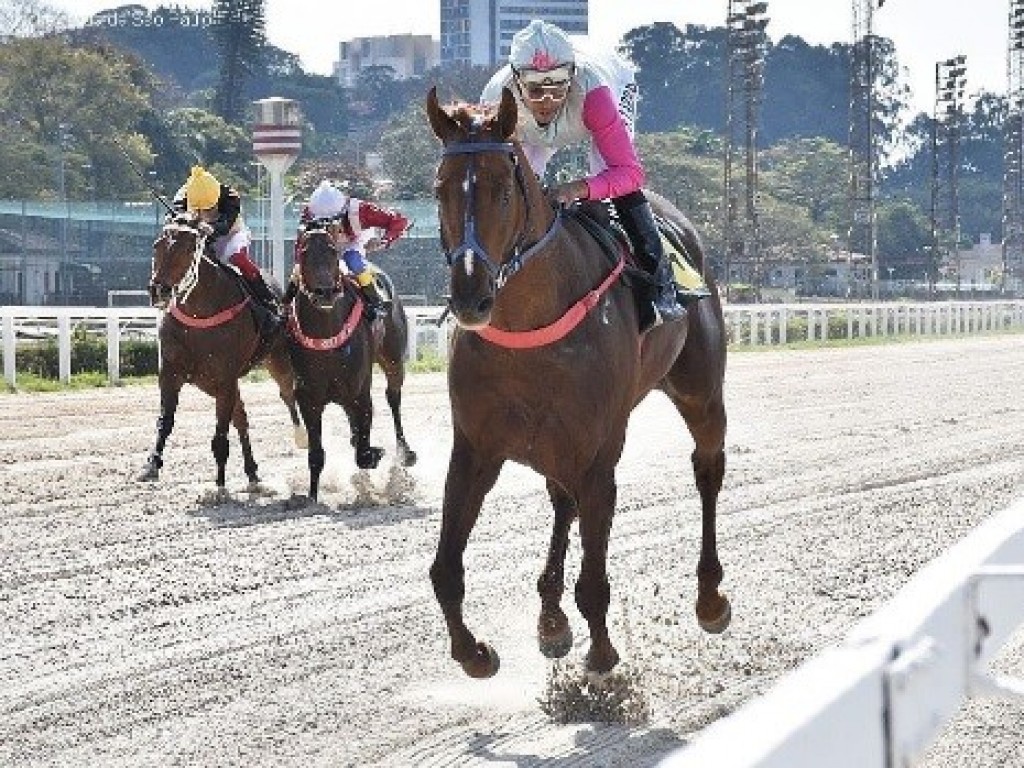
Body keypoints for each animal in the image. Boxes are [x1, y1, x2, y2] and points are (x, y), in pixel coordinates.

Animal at [142, 211, 305, 487]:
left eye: (188, 249)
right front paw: (152, 464)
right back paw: (251, 470)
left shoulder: (224, 379)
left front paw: (219, 483)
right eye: (157, 245)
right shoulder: (171, 373)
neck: (199, 314)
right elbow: (166, 420)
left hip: (278, 358)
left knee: (288, 395)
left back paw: (301, 437)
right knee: (242, 418)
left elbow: (220, 432)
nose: (159, 290)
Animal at [428, 87, 733, 684]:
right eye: (440, 188)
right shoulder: (476, 448)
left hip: (701, 394)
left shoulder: (597, 456)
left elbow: (594, 580)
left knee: (707, 468)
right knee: (560, 501)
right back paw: (550, 616)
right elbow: (445, 569)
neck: (527, 332)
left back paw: (709, 598)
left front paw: (603, 656)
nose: (470, 297)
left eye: (504, 190)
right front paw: (474, 652)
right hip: (552, 444)